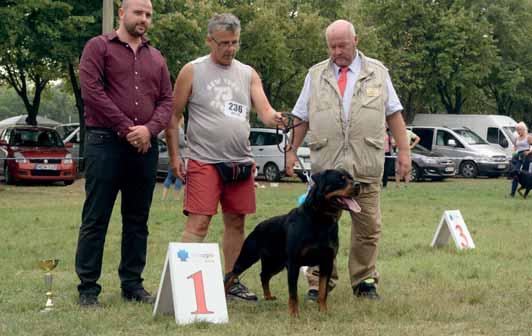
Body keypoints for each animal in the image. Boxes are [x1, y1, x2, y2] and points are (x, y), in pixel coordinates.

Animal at [222, 169, 364, 316]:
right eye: (340, 180)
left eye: (351, 178)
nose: (358, 185)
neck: (321, 219)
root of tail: (258, 226)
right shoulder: (294, 263)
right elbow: (293, 293)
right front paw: (294, 314)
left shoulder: (327, 262)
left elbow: (323, 290)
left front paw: (323, 311)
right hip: (248, 257)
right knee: (231, 275)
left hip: (276, 262)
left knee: (264, 275)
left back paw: (268, 297)